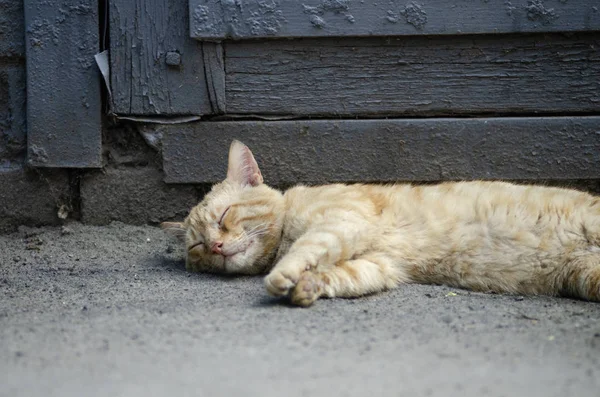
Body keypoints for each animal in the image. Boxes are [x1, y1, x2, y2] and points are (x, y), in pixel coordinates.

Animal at [162, 139, 600, 306]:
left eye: (224, 217)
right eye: (197, 246)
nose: (216, 246)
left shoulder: (343, 222)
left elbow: (307, 249)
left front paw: (284, 276)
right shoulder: (379, 264)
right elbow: (339, 275)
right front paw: (308, 286)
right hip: (584, 276)